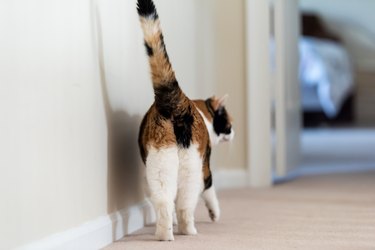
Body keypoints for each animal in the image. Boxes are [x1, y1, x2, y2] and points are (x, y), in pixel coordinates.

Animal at [137, 0, 234, 241]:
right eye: (228, 124)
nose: (233, 133)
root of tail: (176, 101)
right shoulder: (205, 165)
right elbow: (210, 189)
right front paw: (215, 214)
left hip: (160, 163)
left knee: (164, 201)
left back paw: (164, 234)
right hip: (191, 166)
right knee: (185, 203)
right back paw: (189, 231)